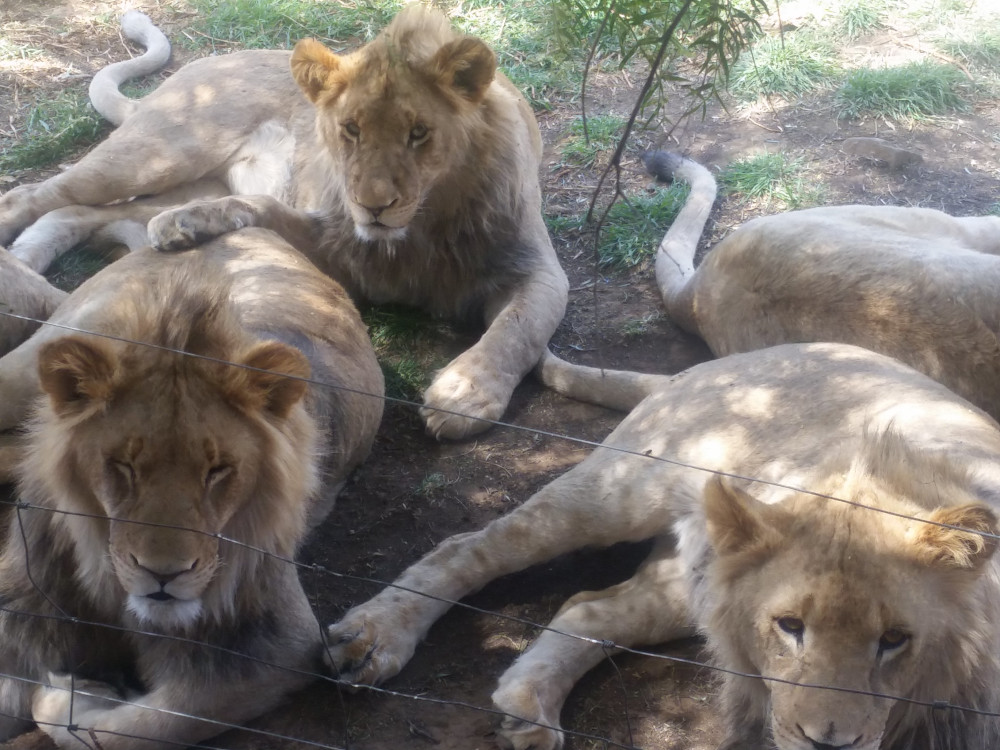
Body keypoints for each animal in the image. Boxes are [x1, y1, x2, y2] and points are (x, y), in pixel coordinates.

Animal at [0, 4, 568, 440]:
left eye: (419, 133)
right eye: (351, 130)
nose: (373, 205)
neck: (423, 228)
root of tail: (206, 63)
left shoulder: (537, 269)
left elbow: (519, 328)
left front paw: (464, 394)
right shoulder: (335, 239)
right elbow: (263, 208)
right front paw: (184, 226)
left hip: (176, 178)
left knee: (80, 212)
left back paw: (29, 263)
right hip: (156, 154)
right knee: (33, 194)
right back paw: (20, 264)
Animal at [0, 231, 386, 750]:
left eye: (217, 471)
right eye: (123, 466)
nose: (163, 575)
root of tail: (254, 230)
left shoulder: (273, 645)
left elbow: (140, 728)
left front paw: (73, 694)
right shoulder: (26, 609)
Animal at [318, 346, 1000, 750]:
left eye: (896, 640)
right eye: (789, 626)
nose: (829, 744)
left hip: (699, 577)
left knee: (589, 606)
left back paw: (529, 704)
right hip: (620, 487)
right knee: (472, 546)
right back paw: (374, 637)